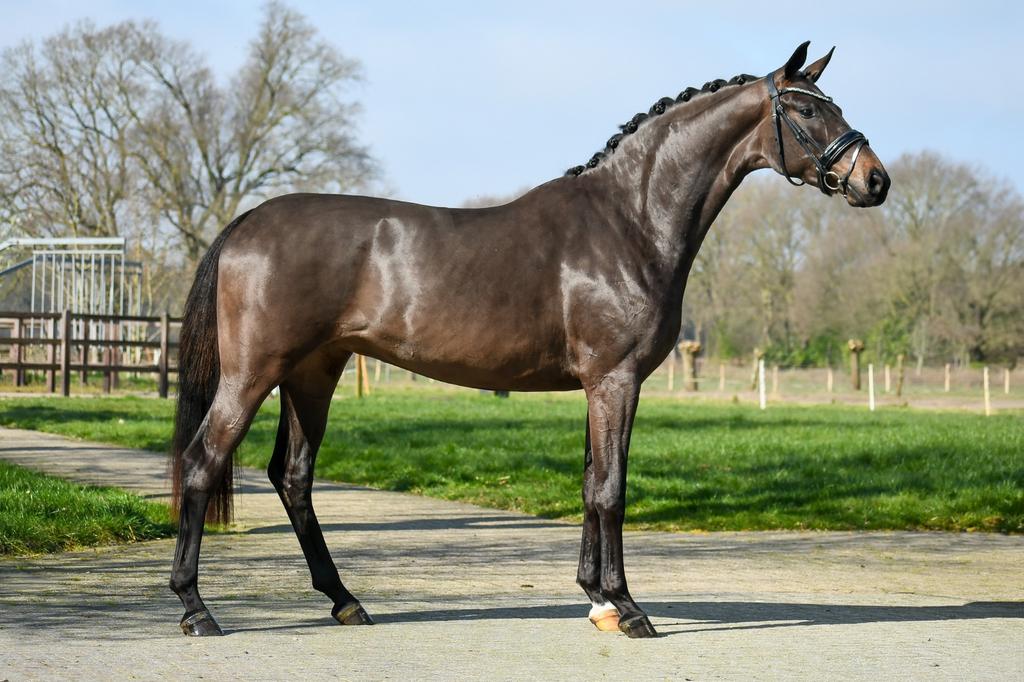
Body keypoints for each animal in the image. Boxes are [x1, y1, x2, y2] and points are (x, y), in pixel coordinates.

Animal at [170, 41, 890, 639]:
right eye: (806, 108)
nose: (875, 180)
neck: (627, 221)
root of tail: (245, 224)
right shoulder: (616, 380)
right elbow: (612, 488)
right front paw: (628, 608)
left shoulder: (597, 385)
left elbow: (591, 482)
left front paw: (596, 601)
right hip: (255, 373)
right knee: (204, 461)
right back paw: (197, 609)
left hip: (314, 373)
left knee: (293, 476)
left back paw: (345, 601)